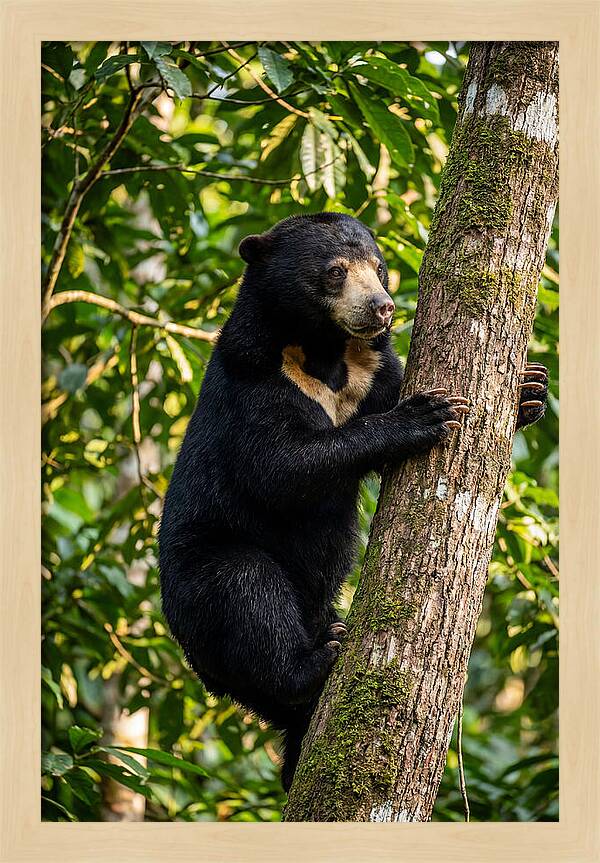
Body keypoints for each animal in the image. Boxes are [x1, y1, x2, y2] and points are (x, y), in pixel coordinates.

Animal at [158, 212, 547, 791]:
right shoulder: (254, 380)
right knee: (246, 589)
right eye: (336, 272)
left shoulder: (372, 370)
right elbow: (279, 467)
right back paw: (320, 657)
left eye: (380, 268)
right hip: (200, 580)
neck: (324, 352)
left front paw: (529, 389)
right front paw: (425, 415)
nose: (382, 307)